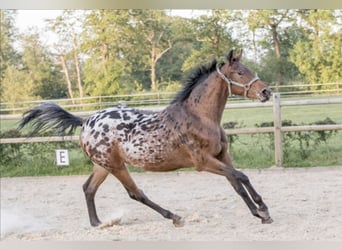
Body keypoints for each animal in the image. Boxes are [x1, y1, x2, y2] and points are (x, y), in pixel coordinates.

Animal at [19, 48, 276, 227]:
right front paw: (262, 209)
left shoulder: (222, 155)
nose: (266, 92)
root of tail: (85, 122)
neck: (199, 116)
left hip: (103, 165)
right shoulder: (203, 162)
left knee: (88, 188)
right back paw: (174, 217)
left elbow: (238, 182)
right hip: (115, 166)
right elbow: (240, 176)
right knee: (135, 193)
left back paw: (97, 223)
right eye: (241, 73)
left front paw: (260, 214)